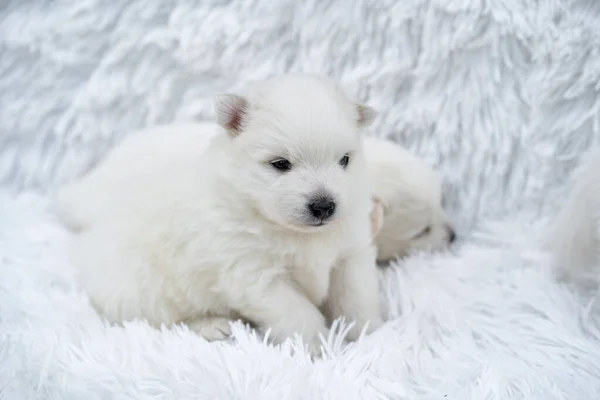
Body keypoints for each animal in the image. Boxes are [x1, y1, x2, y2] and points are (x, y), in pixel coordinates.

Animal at [57, 73, 384, 354]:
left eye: (344, 160)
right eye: (281, 164)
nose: (324, 206)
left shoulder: (350, 254)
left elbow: (356, 296)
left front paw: (368, 334)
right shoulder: (256, 275)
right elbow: (298, 312)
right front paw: (316, 347)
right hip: (141, 290)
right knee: (165, 320)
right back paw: (212, 325)